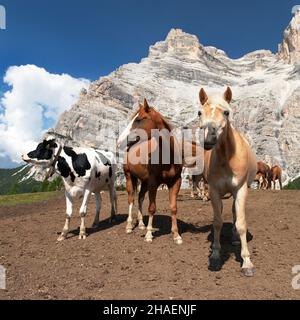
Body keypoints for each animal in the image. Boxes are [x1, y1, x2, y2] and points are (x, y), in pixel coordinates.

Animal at [117, 100, 183, 245]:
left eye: (139, 119)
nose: (119, 141)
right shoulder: (153, 183)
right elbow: (152, 207)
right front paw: (149, 235)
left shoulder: (175, 182)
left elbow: (174, 207)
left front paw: (176, 235)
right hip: (129, 177)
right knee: (131, 199)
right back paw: (129, 226)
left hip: (144, 182)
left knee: (140, 198)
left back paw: (141, 224)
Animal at [197, 87, 258, 278]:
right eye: (199, 112)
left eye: (226, 112)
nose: (209, 140)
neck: (226, 157)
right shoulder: (214, 191)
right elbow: (217, 222)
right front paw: (215, 256)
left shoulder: (241, 189)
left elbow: (241, 223)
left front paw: (246, 262)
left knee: (235, 214)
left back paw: (235, 238)